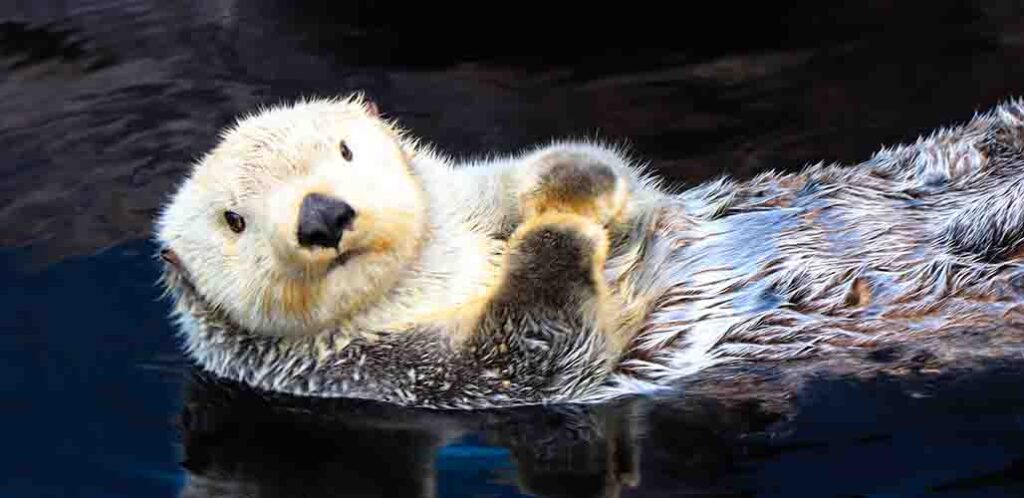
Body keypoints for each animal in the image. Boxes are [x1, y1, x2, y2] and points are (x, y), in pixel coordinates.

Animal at [155, 96, 1024, 407]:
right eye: (235, 220)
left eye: (343, 150)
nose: (324, 215)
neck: (435, 270)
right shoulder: (389, 374)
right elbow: (534, 352)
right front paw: (556, 235)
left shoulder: (472, 193)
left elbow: (612, 181)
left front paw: (571, 183)